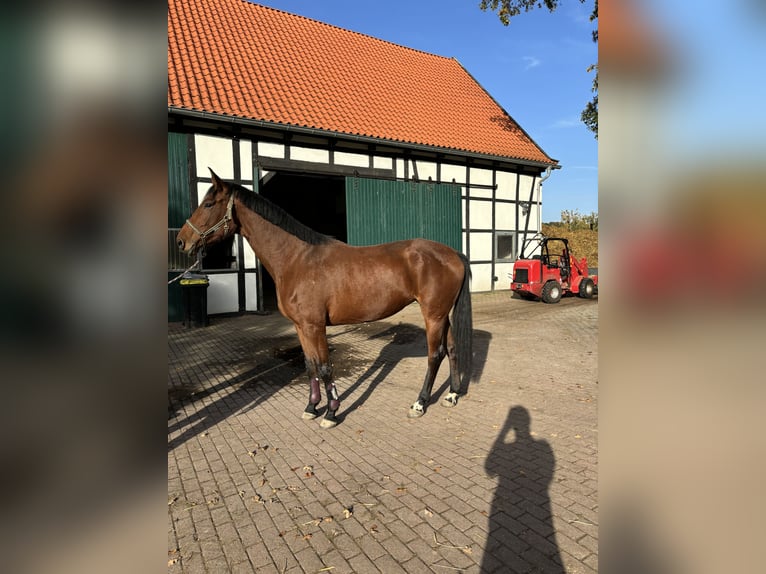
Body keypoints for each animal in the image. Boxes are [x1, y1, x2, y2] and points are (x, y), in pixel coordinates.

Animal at [178, 170, 474, 428]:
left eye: (208, 204)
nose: (182, 241)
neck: (296, 258)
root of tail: (453, 254)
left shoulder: (315, 326)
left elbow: (325, 367)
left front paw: (331, 413)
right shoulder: (301, 327)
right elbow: (310, 366)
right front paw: (311, 408)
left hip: (433, 316)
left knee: (435, 355)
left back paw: (420, 403)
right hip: (442, 315)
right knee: (452, 349)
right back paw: (452, 395)